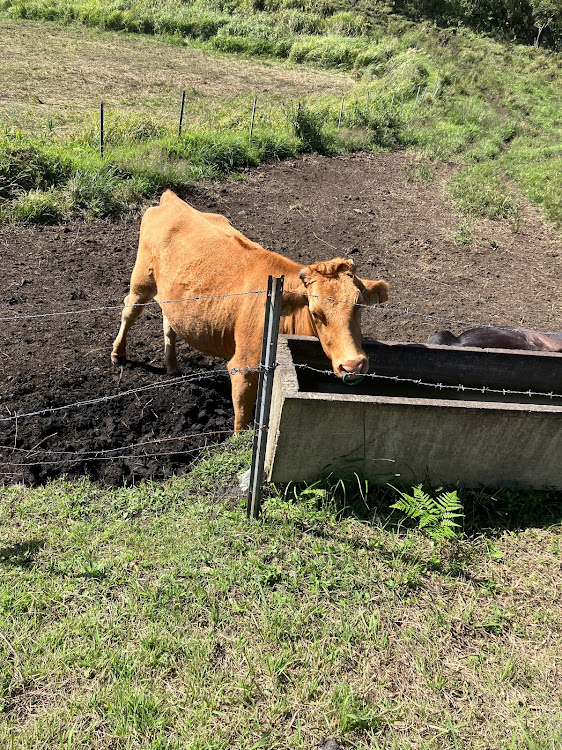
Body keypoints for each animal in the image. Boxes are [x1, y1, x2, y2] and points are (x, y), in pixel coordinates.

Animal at [111, 191, 388, 432]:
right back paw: (118, 354)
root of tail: (173, 201)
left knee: (169, 323)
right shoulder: (243, 366)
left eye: (359, 305)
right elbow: (242, 419)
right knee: (129, 311)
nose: (352, 365)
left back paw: (172, 366)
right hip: (141, 282)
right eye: (316, 312)